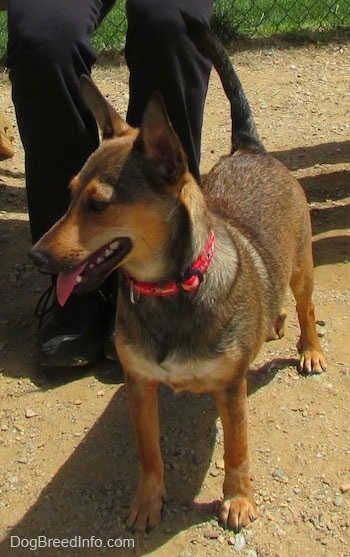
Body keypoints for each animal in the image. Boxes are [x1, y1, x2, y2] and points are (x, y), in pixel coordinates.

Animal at [28, 20, 326, 536]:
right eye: (69, 194)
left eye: (98, 204)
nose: (37, 255)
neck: (169, 289)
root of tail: (249, 148)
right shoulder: (140, 387)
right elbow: (149, 454)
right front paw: (148, 502)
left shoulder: (231, 390)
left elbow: (237, 450)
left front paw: (238, 499)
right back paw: (272, 323)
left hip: (301, 268)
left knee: (306, 307)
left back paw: (309, 349)